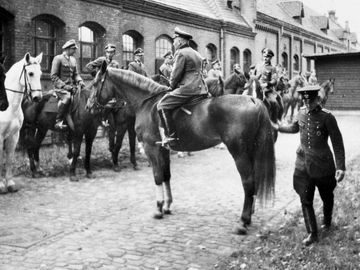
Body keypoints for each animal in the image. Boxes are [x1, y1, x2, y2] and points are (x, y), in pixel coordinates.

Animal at [0, 51, 43, 193]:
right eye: (30, 73)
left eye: (41, 73)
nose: (37, 98)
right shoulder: (0, 136)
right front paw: (1, 185)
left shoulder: (14, 135)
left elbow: (9, 159)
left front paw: (10, 183)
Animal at [87, 62, 276, 234]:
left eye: (95, 83)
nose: (88, 106)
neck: (147, 101)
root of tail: (253, 100)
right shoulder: (163, 149)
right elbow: (166, 175)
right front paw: (168, 206)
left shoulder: (151, 148)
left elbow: (157, 177)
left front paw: (158, 208)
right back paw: (249, 215)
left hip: (239, 153)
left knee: (248, 182)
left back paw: (243, 221)